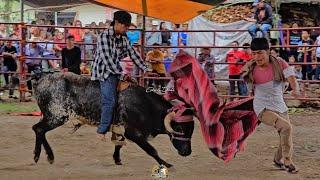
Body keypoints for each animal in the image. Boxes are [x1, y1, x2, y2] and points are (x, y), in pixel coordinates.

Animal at [31, 72, 194, 168]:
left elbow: (118, 145)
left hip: (53, 117)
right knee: (38, 129)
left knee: (39, 130)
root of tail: (41, 80)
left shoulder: (121, 129)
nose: (187, 152)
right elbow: (152, 150)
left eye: (191, 129)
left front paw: (117, 159)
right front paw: (166, 164)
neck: (146, 105)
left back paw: (48, 156)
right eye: (179, 129)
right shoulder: (134, 134)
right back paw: (41, 156)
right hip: (57, 116)